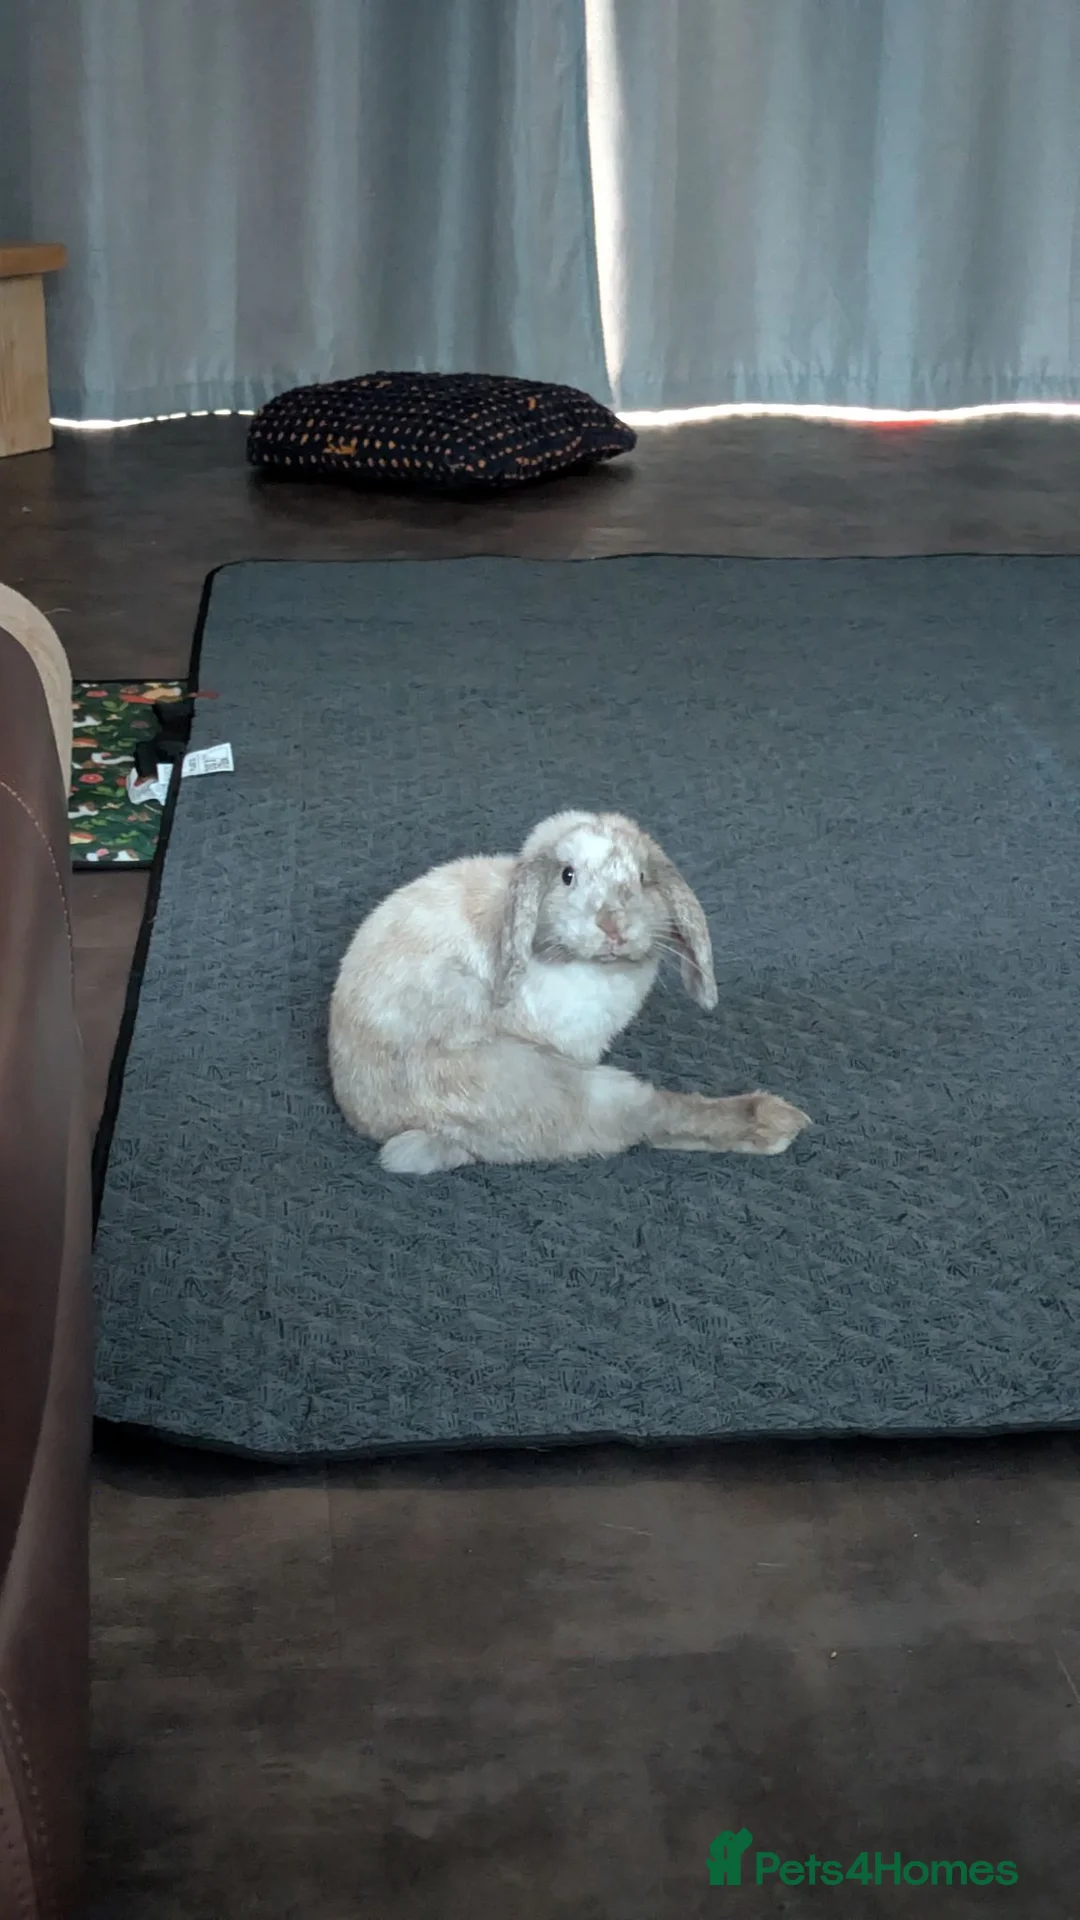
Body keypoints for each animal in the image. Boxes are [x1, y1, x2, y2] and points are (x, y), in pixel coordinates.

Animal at [329, 810, 811, 1174]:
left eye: (642, 877)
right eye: (567, 876)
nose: (613, 925)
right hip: (551, 1086)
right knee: (646, 1118)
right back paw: (776, 1122)